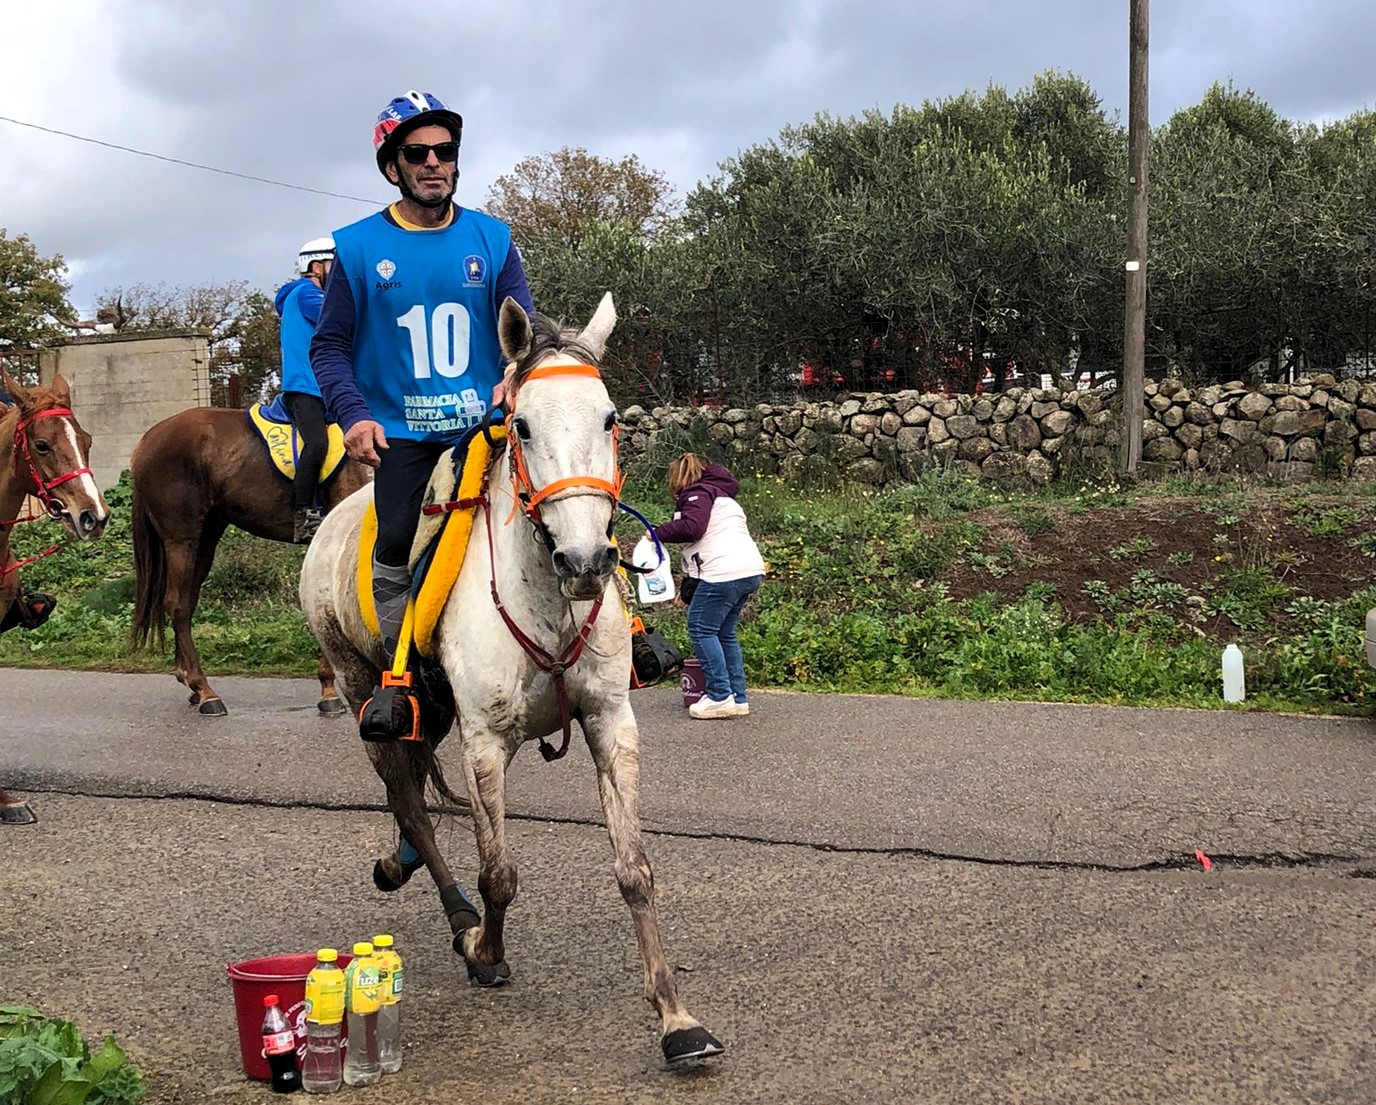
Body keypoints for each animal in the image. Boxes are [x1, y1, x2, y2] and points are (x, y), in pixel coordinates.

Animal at [125, 407, 366, 715]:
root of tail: (146, 441)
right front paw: (331, 689)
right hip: (181, 538)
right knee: (177, 604)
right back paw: (205, 692)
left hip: (207, 535)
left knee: (187, 602)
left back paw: (190, 684)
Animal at [297, 291, 726, 1062]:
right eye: (521, 425)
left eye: (610, 418)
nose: (586, 560)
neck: (546, 599)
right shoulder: (485, 743)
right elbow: (498, 872)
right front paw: (483, 950)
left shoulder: (609, 722)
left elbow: (635, 870)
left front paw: (677, 1020)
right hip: (360, 691)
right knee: (409, 801)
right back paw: (448, 905)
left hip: (433, 712)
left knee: (415, 794)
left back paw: (401, 863)